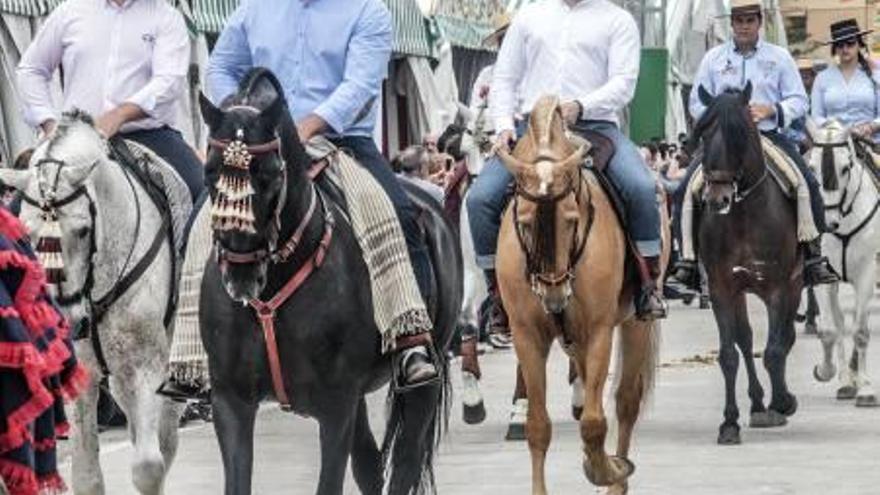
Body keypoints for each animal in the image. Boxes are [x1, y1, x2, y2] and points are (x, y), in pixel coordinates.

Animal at [0, 113, 182, 495]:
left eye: (83, 231)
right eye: (26, 234)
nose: (68, 323)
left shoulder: (146, 364)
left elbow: (149, 466)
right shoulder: (80, 374)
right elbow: (87, 475)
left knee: (166, 434)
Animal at [197, 68, 464, 494]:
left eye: (271, 173)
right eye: (209, 171)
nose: (240, 272)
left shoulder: (336, 405)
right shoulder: (231, 402)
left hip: (428, 369)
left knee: (406, 458)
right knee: (370, 464)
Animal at [496, 95, 660, 494]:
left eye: (572, 219)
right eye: (523, 222)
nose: (554, 296)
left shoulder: (599, 330)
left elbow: (594, 422)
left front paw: (607, 470)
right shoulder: (527, 336)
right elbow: (538, 427)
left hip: (634, 322)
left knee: (624, 402)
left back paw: (614, 478)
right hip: (572, 339)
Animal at [696, 84, 804, 446]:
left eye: (739, 135)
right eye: (704, 134)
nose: (717, 199)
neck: (744, 215)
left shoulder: (778, 287)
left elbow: (774, 350)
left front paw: (782, 402)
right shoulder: (721, 288)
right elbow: (729, 354)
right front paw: (729, 423)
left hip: (796, 284)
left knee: (785, 337)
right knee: (745, 339)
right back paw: (757, 403)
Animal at [808, 120, 880, 406]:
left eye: (845, 168)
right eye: (811, 167)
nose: (828, 223)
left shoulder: (867, 273)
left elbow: (860, 331)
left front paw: (867, 389)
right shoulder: (822, 275)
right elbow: (830, 329)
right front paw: (827, 372)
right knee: (839, 322)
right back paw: (847, 380)